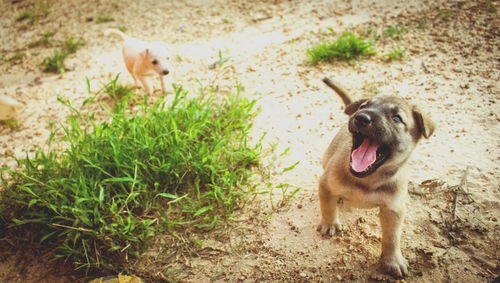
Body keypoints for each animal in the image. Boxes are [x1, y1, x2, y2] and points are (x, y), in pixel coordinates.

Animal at [320, 77, 434, 278]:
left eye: (396, 118)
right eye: (363, 106)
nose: (361, 117)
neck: (367, 181)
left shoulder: (393, 210)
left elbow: (392, 237)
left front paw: (392, 260)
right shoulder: (325, 185)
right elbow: (327, 207)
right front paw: (330, 223)